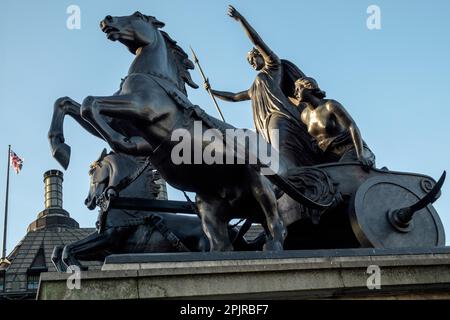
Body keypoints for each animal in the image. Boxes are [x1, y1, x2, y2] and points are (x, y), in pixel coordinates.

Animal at [49, 11, 288, 251]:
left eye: (137, 15)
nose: (107, 20)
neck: (153, 77)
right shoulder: (123, 124)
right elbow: (69, 104)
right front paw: (60, 148)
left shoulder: (141, 108)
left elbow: (89, 104)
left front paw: (119, 142)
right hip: (212, 207)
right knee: (224, 243)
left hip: (260, 185)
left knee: (275, 222)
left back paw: (274, 245)